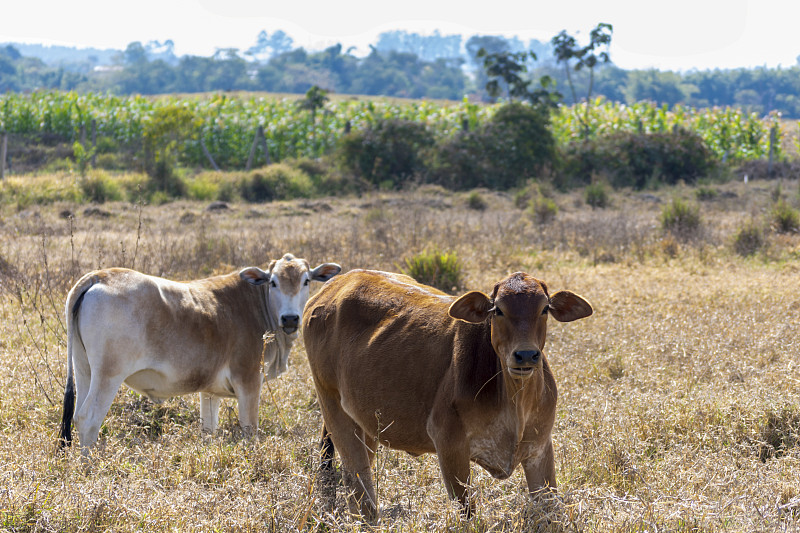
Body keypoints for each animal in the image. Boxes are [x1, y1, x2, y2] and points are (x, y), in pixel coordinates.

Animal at [58, 252, 340, 448]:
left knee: (76, 415)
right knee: (88, 420)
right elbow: (250, 430)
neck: (256, 307)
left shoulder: (210, 392)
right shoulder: (249, 381)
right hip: (108, 375)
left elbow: (208, 430)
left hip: (84, 370)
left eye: (306, 281)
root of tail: (100, 275)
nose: (290, 318)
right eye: (272, 282)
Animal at [304, 268, 592, 516]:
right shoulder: (450, 447)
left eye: (544, 309)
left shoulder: (540, 449)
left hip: (366, 426)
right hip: (333, 408)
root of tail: (337, 283)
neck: (514, 401)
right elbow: (467, 511)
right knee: (358, 487)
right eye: (498, 309)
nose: (526, 355)